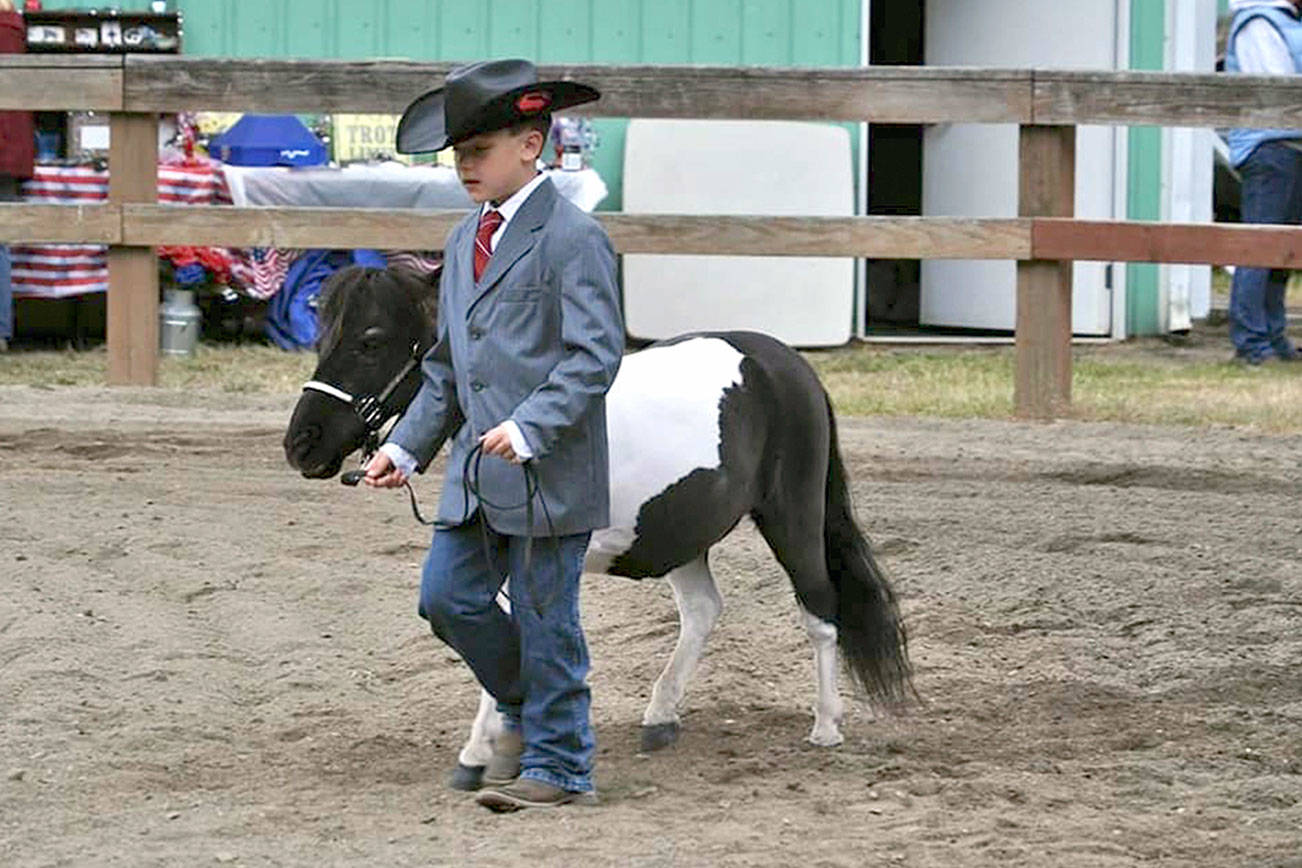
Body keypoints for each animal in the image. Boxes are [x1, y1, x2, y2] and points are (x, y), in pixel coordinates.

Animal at [286, 268, 911, 791]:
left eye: (369, 340)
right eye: (321, 338)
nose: (301, 445)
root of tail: (785, 363)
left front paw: (480, 754)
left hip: (792, 516)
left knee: (820, 610)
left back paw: (826, 725)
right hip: (678, 530)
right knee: (703, 611)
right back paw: (660, 717)